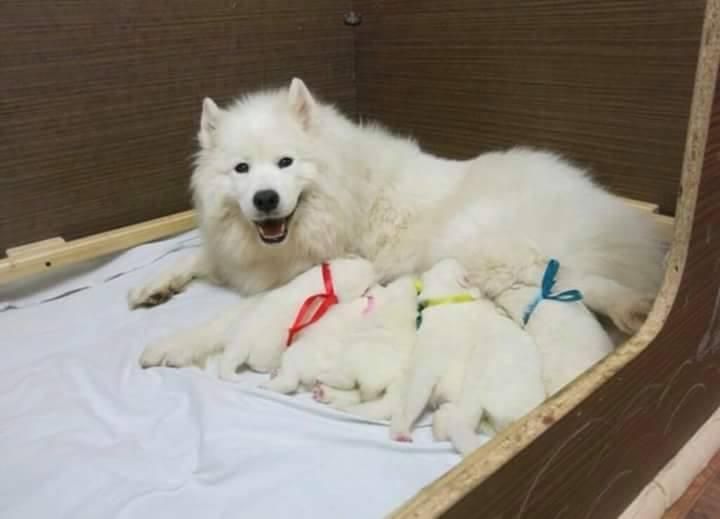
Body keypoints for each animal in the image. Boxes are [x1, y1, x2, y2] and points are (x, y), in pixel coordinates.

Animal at [219, 258, 376, 380]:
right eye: (367, 287)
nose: (371, 266)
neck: (331, 279)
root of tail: (242, 342)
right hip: (267, 352)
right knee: (257, 364)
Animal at [390, 258, 544, 452]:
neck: (448, 301)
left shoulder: (426, 365)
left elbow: (412, 398)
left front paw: (400, 428)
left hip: (480, 372)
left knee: (461, 423)